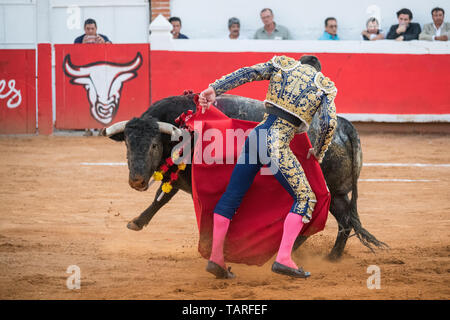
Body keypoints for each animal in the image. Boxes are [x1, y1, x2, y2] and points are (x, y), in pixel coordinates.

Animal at [103, 92, 386, 260]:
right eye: (127, 144)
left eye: (153, 145)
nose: (137, 181)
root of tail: (344, 126)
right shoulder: (179, 175)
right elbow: (161, 197)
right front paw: (137, 221)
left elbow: (203, 209)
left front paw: (211, 246)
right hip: (337, 192)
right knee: (345, 219)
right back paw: (330, 256)